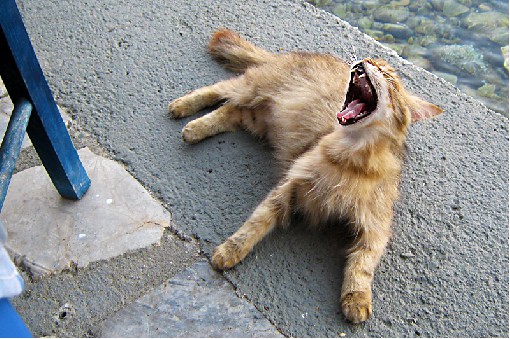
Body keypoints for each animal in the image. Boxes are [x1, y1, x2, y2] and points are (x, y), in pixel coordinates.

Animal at [168, 28, 442, 324]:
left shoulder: (375, 228)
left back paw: (196, 128)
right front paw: (231, 250)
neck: (352, 158)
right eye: (376, 63)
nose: (366, 60)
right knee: (220, 88)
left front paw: (357, 297)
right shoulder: (290, 185)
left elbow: (362, 265)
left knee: (230, 110)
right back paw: (184, 108)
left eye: (386, 73)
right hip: (253, 87)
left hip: (257, 118)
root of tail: (287, 56)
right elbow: (254, 224)